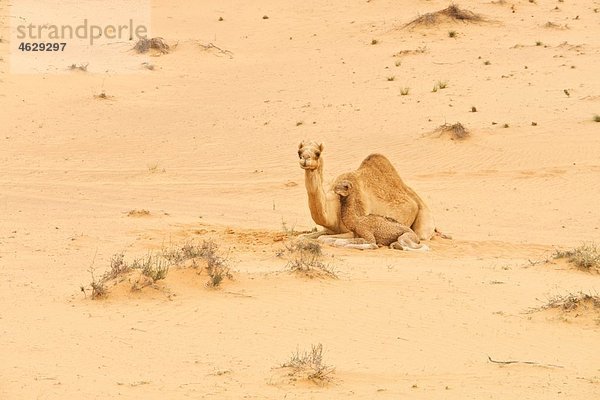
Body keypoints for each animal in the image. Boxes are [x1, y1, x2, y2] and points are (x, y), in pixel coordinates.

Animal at [298, 141, 436, 241]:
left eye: (317, 153)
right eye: (299, 152)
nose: (305, 159)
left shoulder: (352, 230)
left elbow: (321, 238)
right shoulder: (329, 229)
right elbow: (302, 237)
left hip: (424, 219)